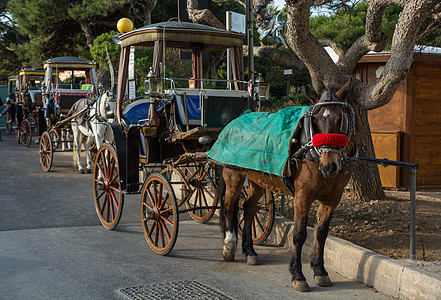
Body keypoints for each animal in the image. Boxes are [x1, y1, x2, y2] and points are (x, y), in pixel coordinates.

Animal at [217, 80, 358, 292]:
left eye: (341, 119)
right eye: (314, 119)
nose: (329, 166)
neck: (313, 155)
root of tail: (239, 118)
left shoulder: (332, 199)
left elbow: (321, 233)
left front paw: (320, 271)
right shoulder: (303, 196)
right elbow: (299, 234)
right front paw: (298, 275)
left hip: (257, 180)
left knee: (248, 208)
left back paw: (250, 251)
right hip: (233, 175)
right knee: (228, 207)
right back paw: (229, 246)